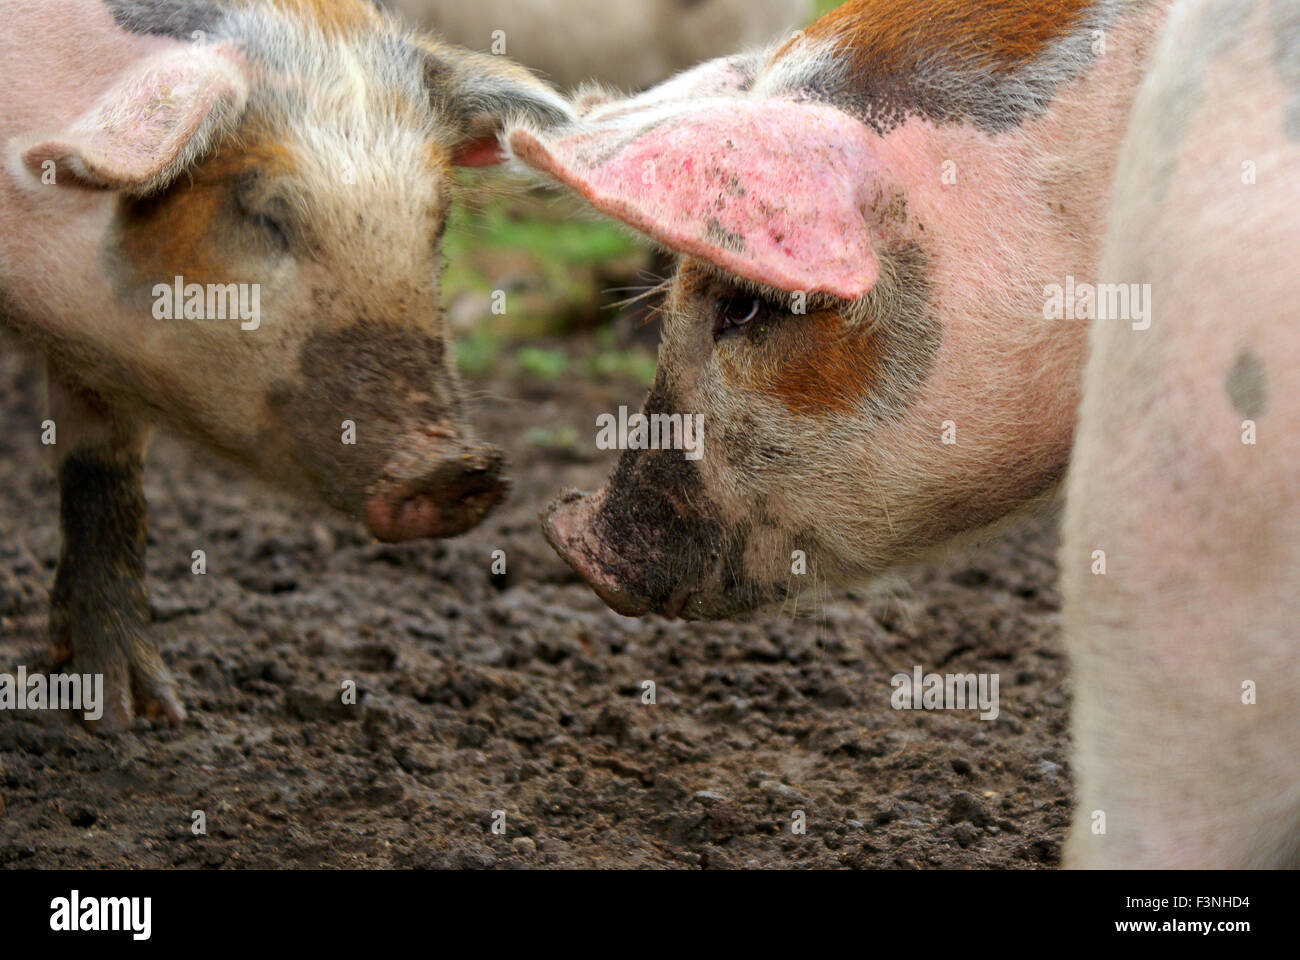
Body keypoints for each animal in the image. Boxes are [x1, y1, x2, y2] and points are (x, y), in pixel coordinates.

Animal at [1, 0, 569, 728]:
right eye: (263, 213)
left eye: (437, 220)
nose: (452, 466)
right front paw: (120, 720)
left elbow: (103, 477)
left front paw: (144, 714)